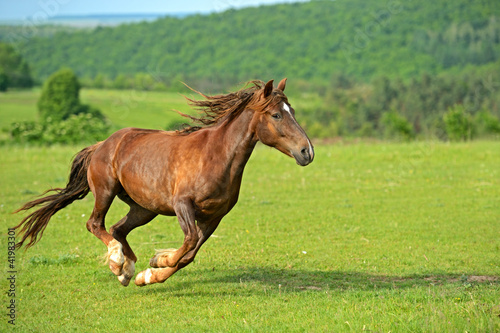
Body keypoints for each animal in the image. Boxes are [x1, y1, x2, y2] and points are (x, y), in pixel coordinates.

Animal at [14, 78, 312, 286]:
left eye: (293, 111)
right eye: (276, 115)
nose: (307, 151)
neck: (216, 156)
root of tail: (102, 144)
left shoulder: (214, 217)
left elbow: (190, 254)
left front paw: (149, 274)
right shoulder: (183, 205)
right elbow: (188, 242)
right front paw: (158, 260)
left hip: (145, 208)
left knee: (118, 229)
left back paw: (127, 271)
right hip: (106, 191)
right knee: (96, 224)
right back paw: (117, 261)